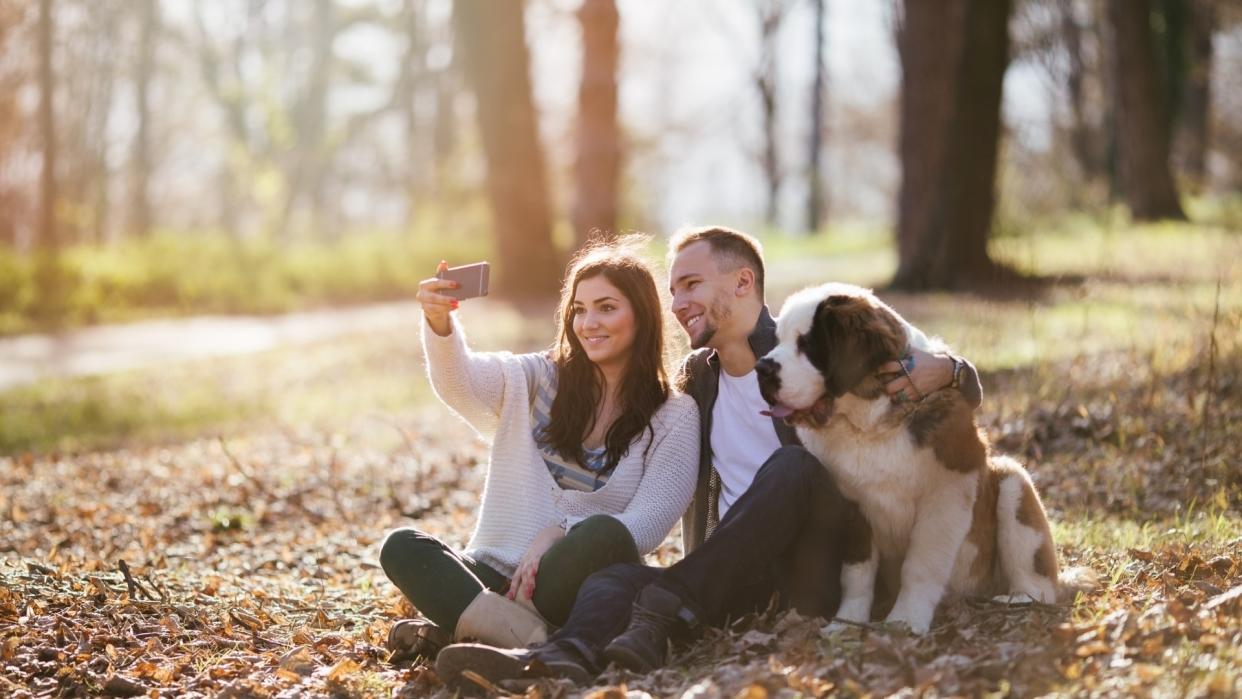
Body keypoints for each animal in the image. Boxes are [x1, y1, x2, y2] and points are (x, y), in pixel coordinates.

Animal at [750, 281, 1092, 630]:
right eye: (778, 341)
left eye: (806, 344)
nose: (761, 368)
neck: (869, 425)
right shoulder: (851, 503)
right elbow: (857, 570)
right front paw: (848, 622)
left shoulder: (946, 493)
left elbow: (921, 564)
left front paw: (905, 621)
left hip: (1012, 479)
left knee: (1039, 579)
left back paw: (1019, 599)